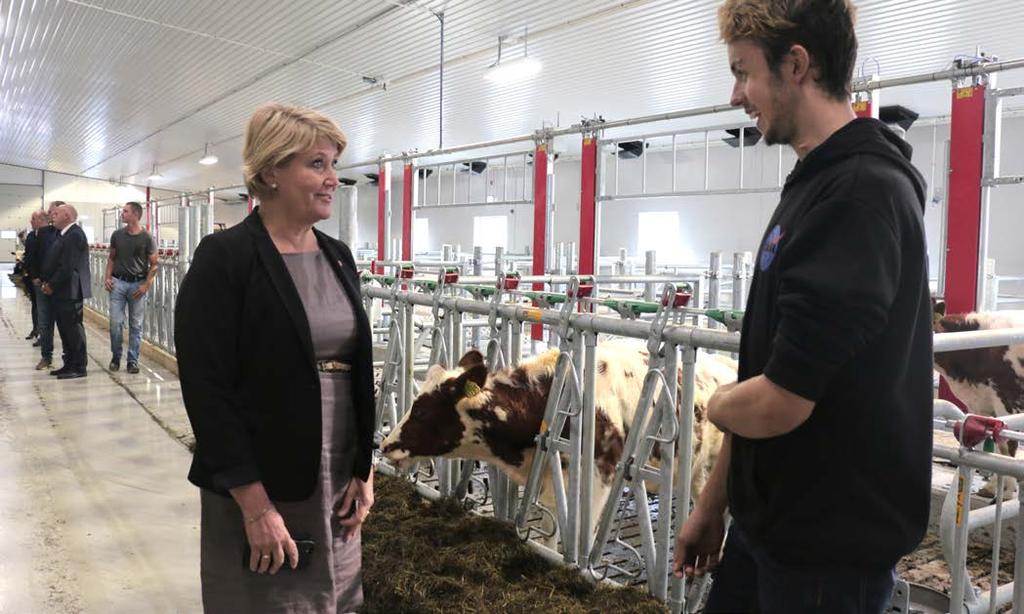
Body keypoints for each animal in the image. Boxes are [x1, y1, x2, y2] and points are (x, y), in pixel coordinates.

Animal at [378, 345, 737, 548]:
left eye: (422, 411)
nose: (386, 445)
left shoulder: (599, 477)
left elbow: (581, 538)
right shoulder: (551, 478)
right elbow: (550, 533)